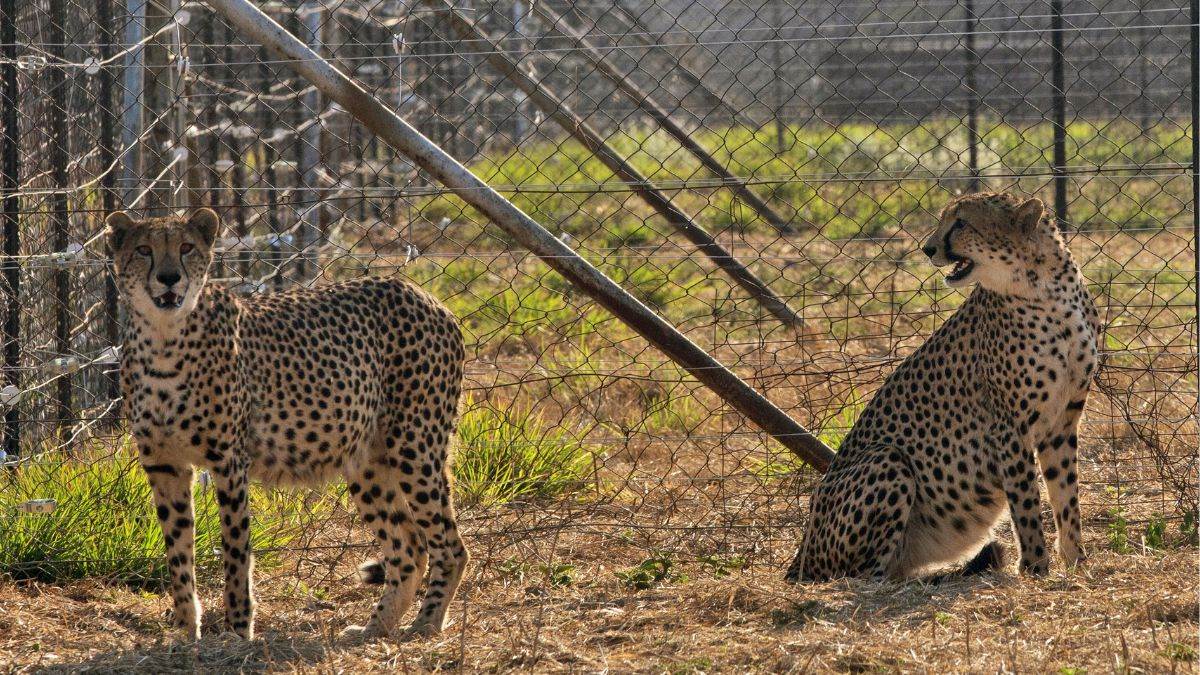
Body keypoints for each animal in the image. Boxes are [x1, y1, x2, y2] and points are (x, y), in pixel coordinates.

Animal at [107, 207, 469, 641]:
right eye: (144, 249)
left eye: (186, 247)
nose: (168, 277)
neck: (163, 339)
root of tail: (421, 293)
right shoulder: (164, 465)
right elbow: (177, 551)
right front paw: (184, 631)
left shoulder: (229, 462)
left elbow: (236, 551)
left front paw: (237, 630)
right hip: (367, 461)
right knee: (409, 547)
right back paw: (373, 629)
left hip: (414, 447)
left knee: (450, 545)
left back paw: (426, 623)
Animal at [786, 191, 1100, 582]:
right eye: (944, 219)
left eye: (961, 222)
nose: (928, 248)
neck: (1046, 288)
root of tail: (799, 555)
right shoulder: (1009, 426)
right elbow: (1026, 503)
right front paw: (1034, 568)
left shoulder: (1062, 421)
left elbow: (1065, 495)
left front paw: (1076, 562)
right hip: (887, 459)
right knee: (865, 574)